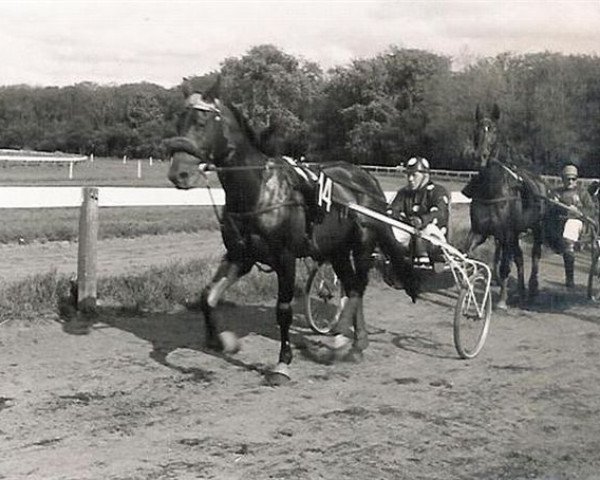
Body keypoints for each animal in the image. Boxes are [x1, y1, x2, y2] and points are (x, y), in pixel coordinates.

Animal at [164, 81, 418, 382]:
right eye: (179, 122)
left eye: (201, 122)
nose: (178, 173)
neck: (259, 192)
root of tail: (366, 178)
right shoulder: (241, 256)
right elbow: (208, 296)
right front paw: (223, 340)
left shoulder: (285, 258)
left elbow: (283, 310)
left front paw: (282, 363)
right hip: (337, 250)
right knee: (352, 285)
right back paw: (356, 343)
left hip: (363, 244)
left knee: (357, 287)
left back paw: (340, 339)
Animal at [464, 103, 552, 310]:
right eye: (476, 129)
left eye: (494, 130)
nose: (480, 157)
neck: (492, 190)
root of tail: (540, 182)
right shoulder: (480, 231)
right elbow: (468, 252)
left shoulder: (506, 234)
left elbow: (505, 266)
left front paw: (502, 300)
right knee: (519, 257)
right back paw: (521, 291)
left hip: (536, 228)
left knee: (534, 255)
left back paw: (533, 288)